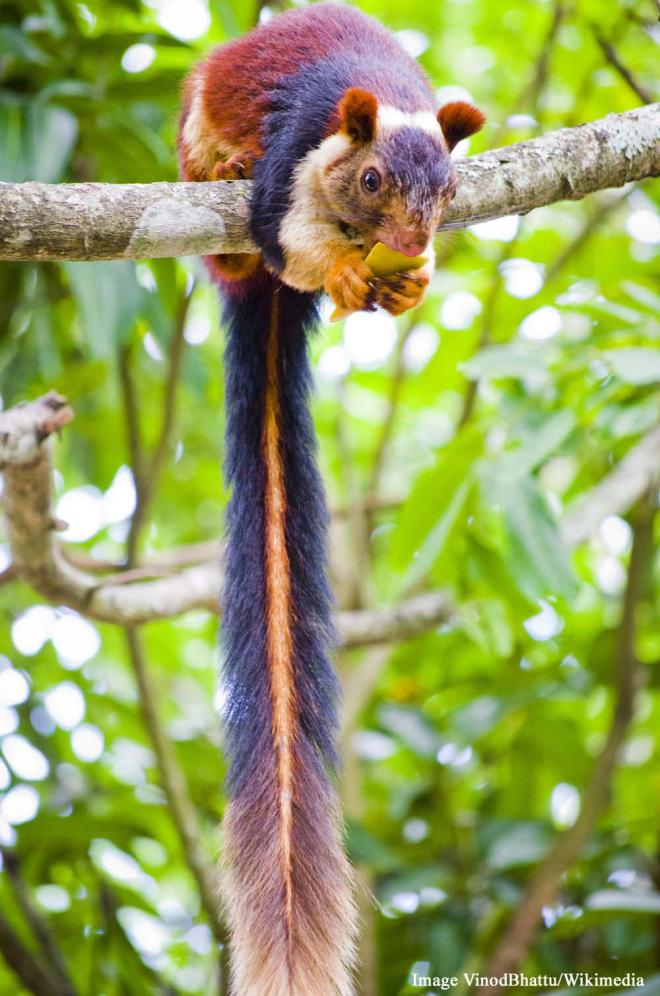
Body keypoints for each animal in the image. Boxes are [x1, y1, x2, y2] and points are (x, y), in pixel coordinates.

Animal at [178, 4, 484, 994]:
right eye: (373, 177)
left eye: (450, 192)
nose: (413, 243)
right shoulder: (294, 163)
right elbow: (289, 241)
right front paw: (347, 276)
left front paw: (413, 282)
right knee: (241, 245)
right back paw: (221, 185)